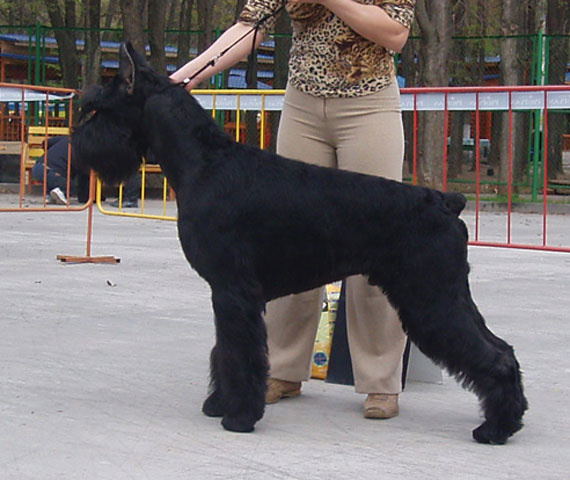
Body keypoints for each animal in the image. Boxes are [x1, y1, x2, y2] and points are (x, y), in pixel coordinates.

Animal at [72, 42, 527, 444]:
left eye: (99, 108)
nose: (77, 147)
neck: (204, 162)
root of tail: (447, 202)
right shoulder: (225, 293)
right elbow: (224, 350)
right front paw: (220, 404)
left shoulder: (234, 291)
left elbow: (240, 354)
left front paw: (239, 417)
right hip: (444, 294)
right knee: (502, 349)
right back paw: (507, 421)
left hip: (431, 297)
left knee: (492, 355)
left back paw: (494, 430)